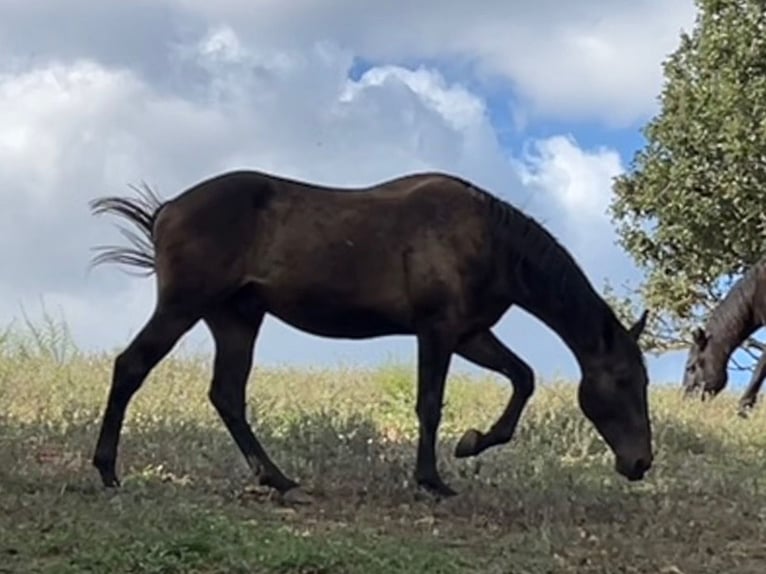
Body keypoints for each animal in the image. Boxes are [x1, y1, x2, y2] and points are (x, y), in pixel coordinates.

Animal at [88, 169, 656, 498]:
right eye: (625, 381)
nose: (641, 462)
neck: (489, 241)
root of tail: (167, 209)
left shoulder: (470, 334)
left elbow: (523, 378)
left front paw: (472, 443)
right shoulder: (437, 331)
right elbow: (430, 404)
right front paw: (432, 480)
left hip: (237, 320)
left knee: (227, 395)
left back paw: (276, 477)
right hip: (183, 307)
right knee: (132, 367)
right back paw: (107, 470)